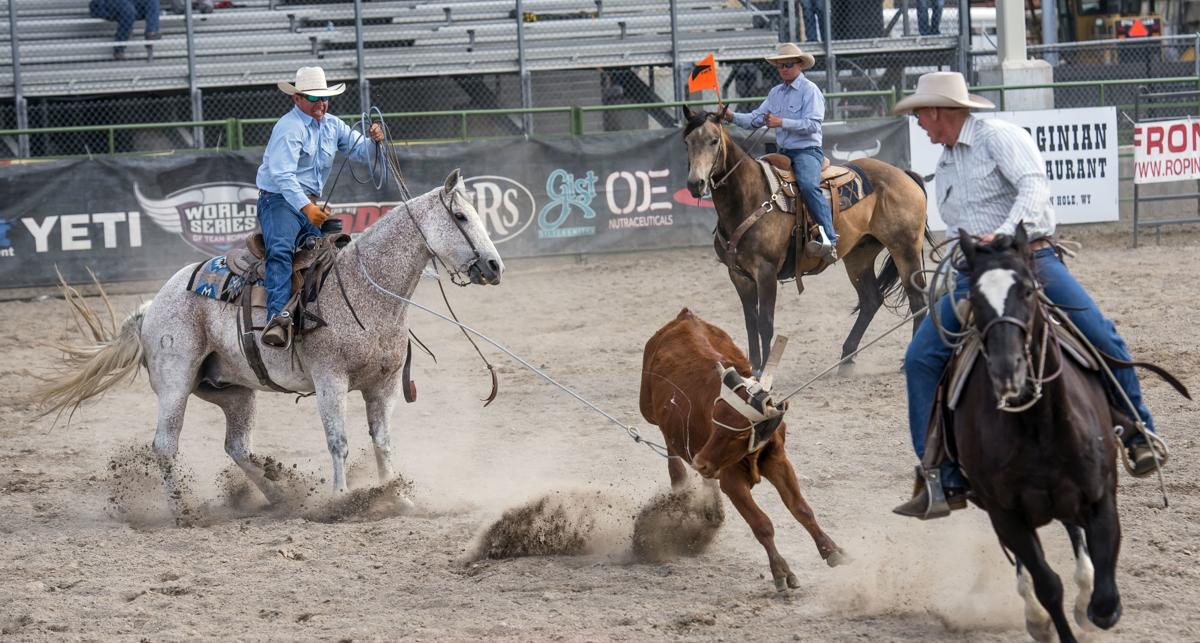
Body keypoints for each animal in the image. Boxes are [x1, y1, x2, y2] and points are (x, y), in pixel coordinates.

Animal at [32, 169, 501, 518]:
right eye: (461, 217)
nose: (495, 266)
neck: (365, 289)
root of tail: (153, 306)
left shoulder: (382, 385)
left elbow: (383, 443)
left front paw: (397, 497)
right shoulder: (330, 380)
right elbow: (339, 441)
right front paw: (340, 499)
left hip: (233, 391)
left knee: (237, 447)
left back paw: (281, 494)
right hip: (175, 382)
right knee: (165, 445)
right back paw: (184, 512)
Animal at [638, 309, 844, 590]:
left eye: (741, 433)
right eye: (714, 420)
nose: (701, 462)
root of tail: (685, 316)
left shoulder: (778, 461)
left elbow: (802, 510)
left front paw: (831, 549)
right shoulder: (732, 480)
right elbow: (762, 524)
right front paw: (781, 572)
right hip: (649, 411)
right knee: (671, 448)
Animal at [686, 107, 926, 374]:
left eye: (714, 140)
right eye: (687, 141)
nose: (695, 183)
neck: (750, 198)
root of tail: (903, 174)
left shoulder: (766, 271)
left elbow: (765, 323)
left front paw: (765, 372)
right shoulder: (739, 275)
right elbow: (751, 322)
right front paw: (753, 369)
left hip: (905, 249)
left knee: (918, 301)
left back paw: (905, 363)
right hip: (859, 255)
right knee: (871, 300)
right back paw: (846, 359)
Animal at [945, 231, 1190, 643]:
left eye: (1028, 290)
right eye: (975, 299)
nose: (1007, 370)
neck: (1037, 425)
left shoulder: (1100, 497)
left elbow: (1105, 598)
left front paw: (1091, 607)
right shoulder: (1005, 513)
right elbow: (1047, 584)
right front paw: (1046, 619)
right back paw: (1035, 614)